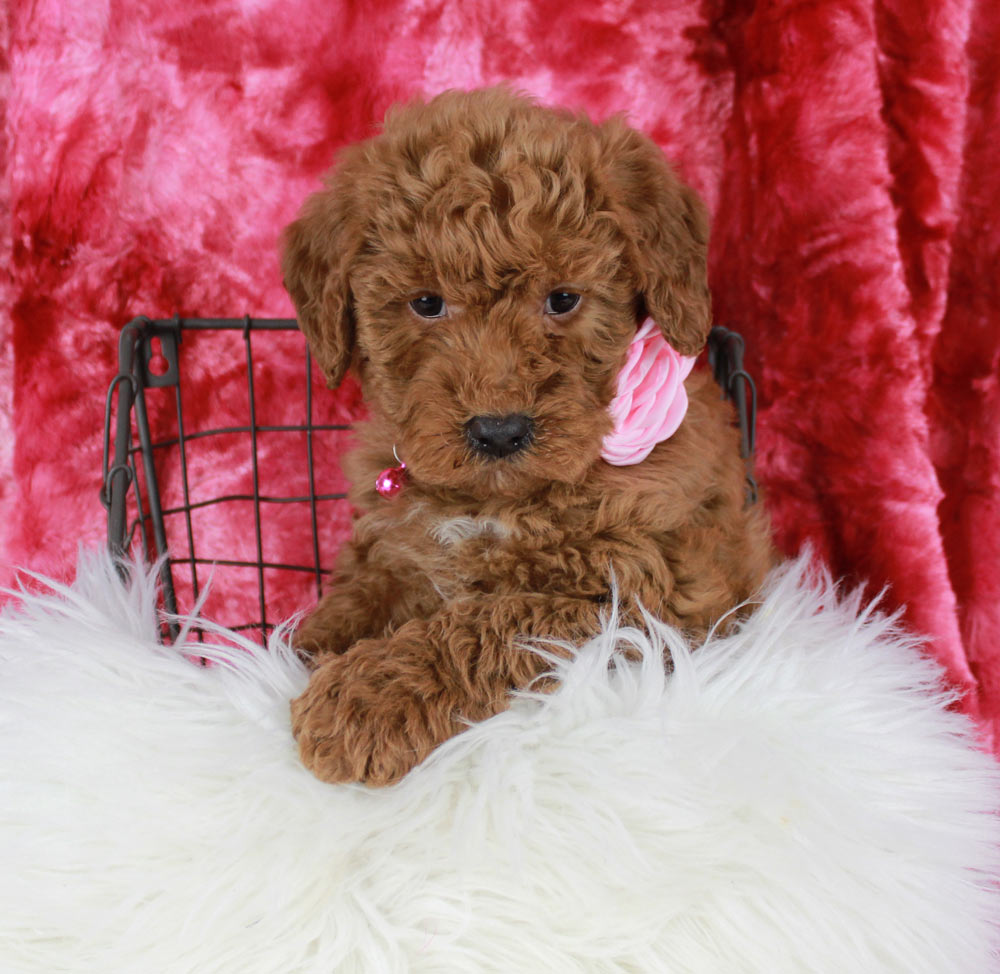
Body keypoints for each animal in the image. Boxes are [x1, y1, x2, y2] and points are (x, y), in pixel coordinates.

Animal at [282, 86, 772, 784]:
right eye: (426, 303)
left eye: (562, 299)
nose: (498, 432)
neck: (498, 500)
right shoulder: (403, 537)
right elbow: (372, 579)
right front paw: (311, 640)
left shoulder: (638, 595)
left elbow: (491, 622)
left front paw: (363, 697)